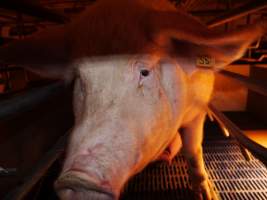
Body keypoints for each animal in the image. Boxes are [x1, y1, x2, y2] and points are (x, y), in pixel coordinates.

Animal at [0, 0, 266, 199]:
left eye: (145, 72)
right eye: (80, 79)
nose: (77, 178)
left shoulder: (198, 109)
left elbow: (193, 149)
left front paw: (207, 194)